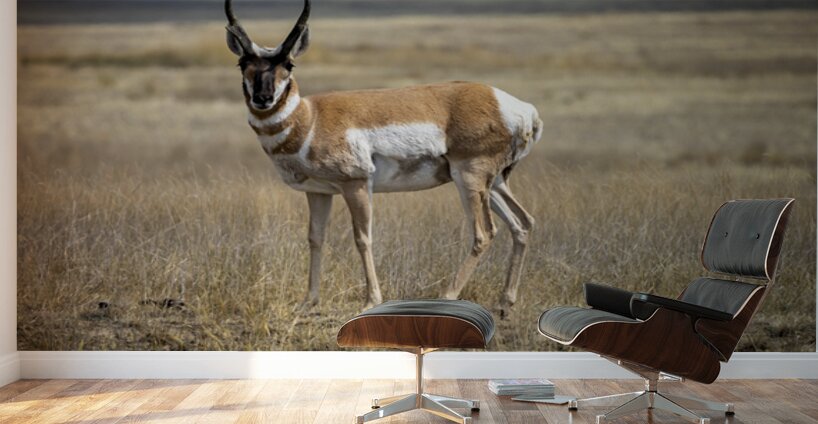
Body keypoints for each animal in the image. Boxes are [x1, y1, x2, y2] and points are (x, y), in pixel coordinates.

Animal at [225, 0, 542, 316]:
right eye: (243, 63)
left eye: (289, 64)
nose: (263, 98)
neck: (311, 118)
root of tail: (517, 107)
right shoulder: (319, 192)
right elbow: (315, 238)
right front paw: (308, 302)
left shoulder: (356, 184)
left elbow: (362, 238)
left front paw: (371, 300)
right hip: (494, 184)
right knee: (522, 223)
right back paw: (504, 303)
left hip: (469, 179)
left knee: (485, 233)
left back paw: (446, 297)